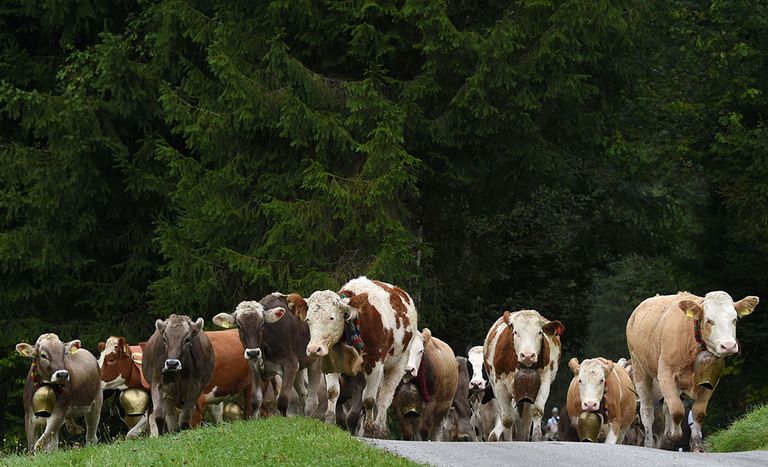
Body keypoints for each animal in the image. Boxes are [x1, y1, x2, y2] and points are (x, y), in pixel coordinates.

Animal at [304, 278, 416, 438]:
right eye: (308, 319)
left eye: (332, 317)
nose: (314, 349)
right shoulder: (332, 361)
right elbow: (333, 392)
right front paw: (330, 422)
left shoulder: (375, 363)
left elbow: (369, 399)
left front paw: (370, 429)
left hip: (399, 364)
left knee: (384, 397)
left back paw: (380, 428)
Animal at [486, 310, 564, 442]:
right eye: (515, 332)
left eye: (539, 332)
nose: (527, 355)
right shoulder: (500, 386)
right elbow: (507, 418)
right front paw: (508, 440)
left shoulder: (543, 382)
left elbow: (536, 410)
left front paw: (536, 437)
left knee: (525, 417)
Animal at [628, 290, 760, 452]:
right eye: (709, 321)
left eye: (734, 320)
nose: (728, 346)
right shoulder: (666, 374)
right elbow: (677, 409)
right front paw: (675, 434)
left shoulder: (711, 380)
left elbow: (698, 412)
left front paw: (696, 445)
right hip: (640, 370)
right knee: (647, 410)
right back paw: (649, 443)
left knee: (665, 406)